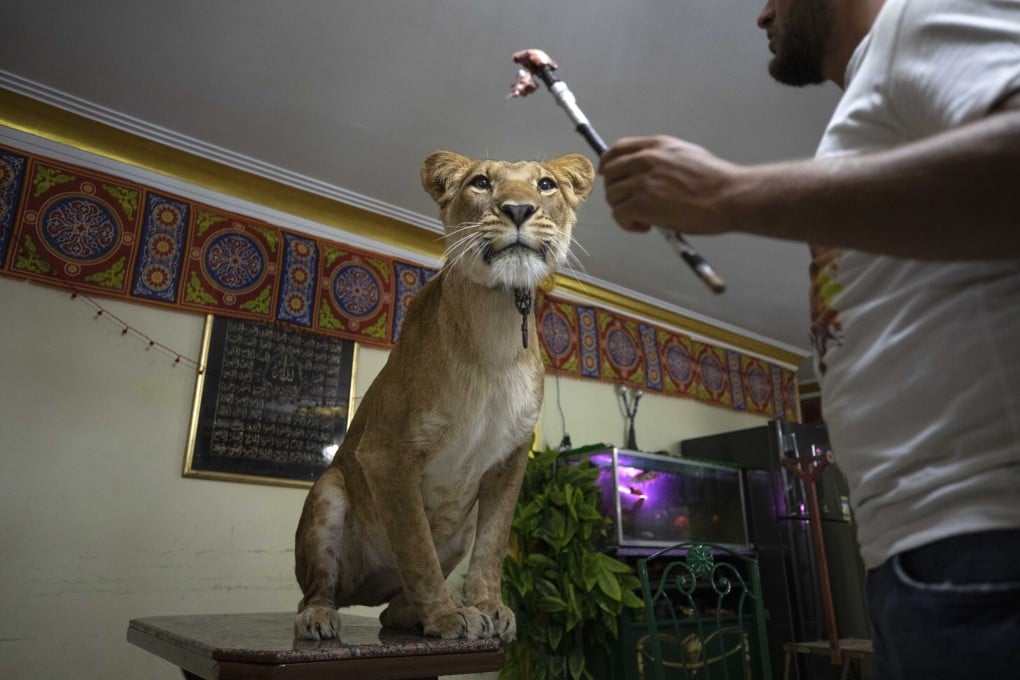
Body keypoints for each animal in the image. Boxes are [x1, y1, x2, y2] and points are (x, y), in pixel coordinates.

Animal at [293, 150, 595, 641]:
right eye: (481, 182)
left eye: (546, 184)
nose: (518, 209)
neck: (497, 325)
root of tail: (365, 592)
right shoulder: (386, 454)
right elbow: (417, 548)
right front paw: (447, 616)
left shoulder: (511, 460)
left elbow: (492, 544)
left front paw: (487, 607)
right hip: (329, 491)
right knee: (319, 590)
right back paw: (321, 617)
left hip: (460, 524)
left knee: (388, 611)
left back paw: (426, 610)